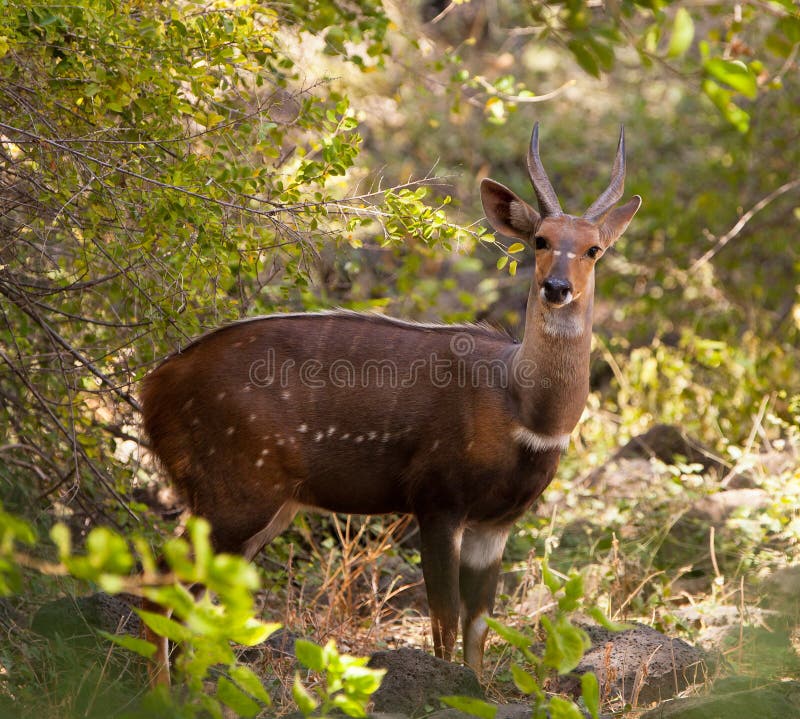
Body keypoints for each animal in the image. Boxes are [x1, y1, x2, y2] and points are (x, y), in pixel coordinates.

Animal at [142, 122, 644, 680]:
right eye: (541, 239)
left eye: (594, 249)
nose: (556, 287)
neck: (523, 410)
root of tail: (152, 387)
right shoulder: (438, 500)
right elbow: (445, 623)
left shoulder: (496, 523)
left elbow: (477, 631)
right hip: (233, 493)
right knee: (157, 588)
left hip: (264, 508)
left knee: (190, 603)